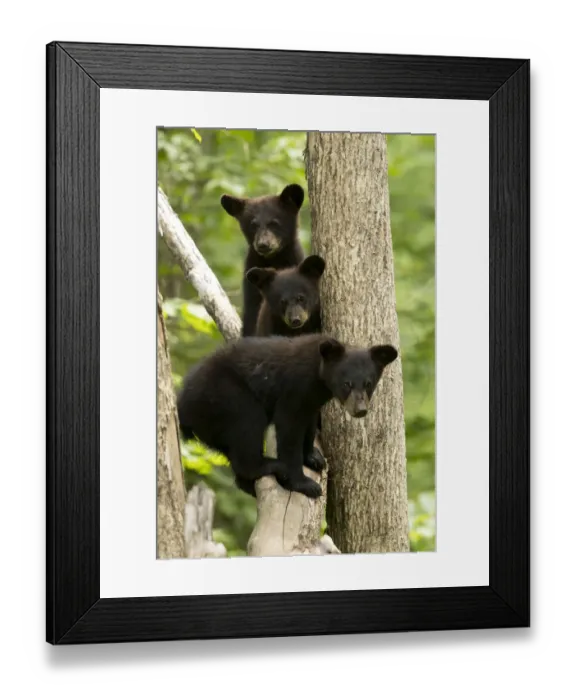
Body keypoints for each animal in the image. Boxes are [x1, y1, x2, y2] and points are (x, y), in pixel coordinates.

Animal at [177, 333, 399, 499]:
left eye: (368, 383)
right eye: (347, 384)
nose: (360, 410)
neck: (318, 376)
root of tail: (182, 407)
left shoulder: (312, 398)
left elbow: (308, 422)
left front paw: (313, 457)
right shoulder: (294, 388)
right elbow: (289, 428)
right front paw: (305, 484)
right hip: (226, 396)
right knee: (249, 423)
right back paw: (269, 465)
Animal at [220, 183, 306, 337]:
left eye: (274, 223)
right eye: (253, 225)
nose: (263, 244)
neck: (273, 259)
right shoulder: (251, 278)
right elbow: (252, 314)